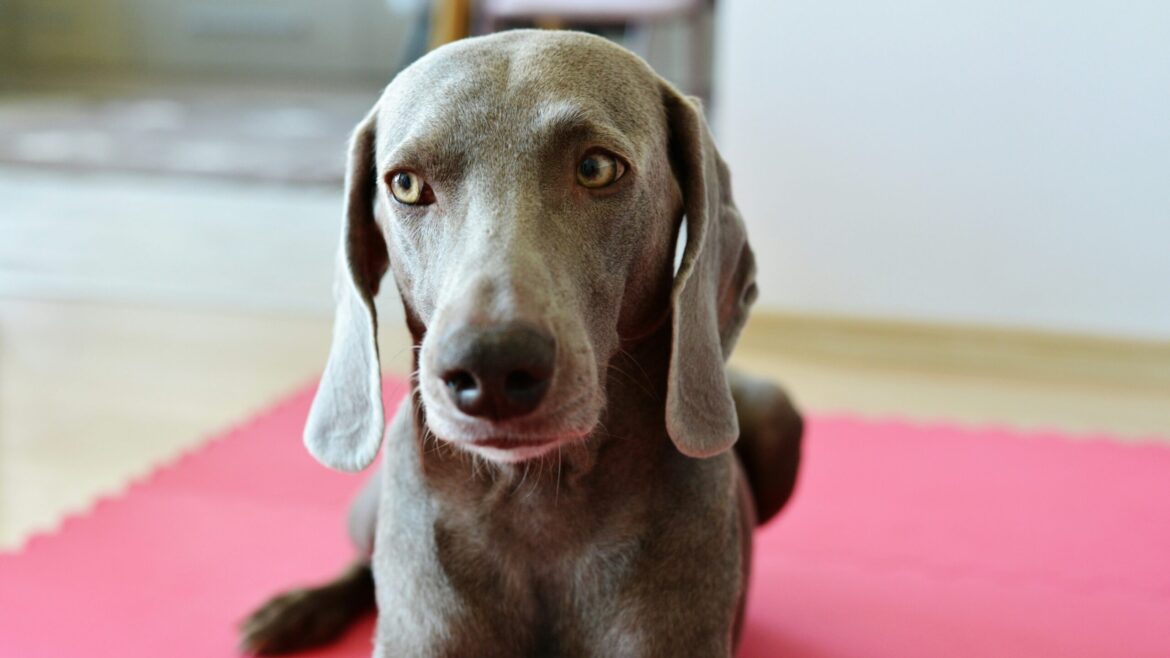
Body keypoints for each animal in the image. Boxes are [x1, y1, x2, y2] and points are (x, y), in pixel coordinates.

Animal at [237, 29, 804, 655]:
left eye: (597, 168)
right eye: (406, 184)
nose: (490, 368)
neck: (535, 499)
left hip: (774, 411)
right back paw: (296, 610)